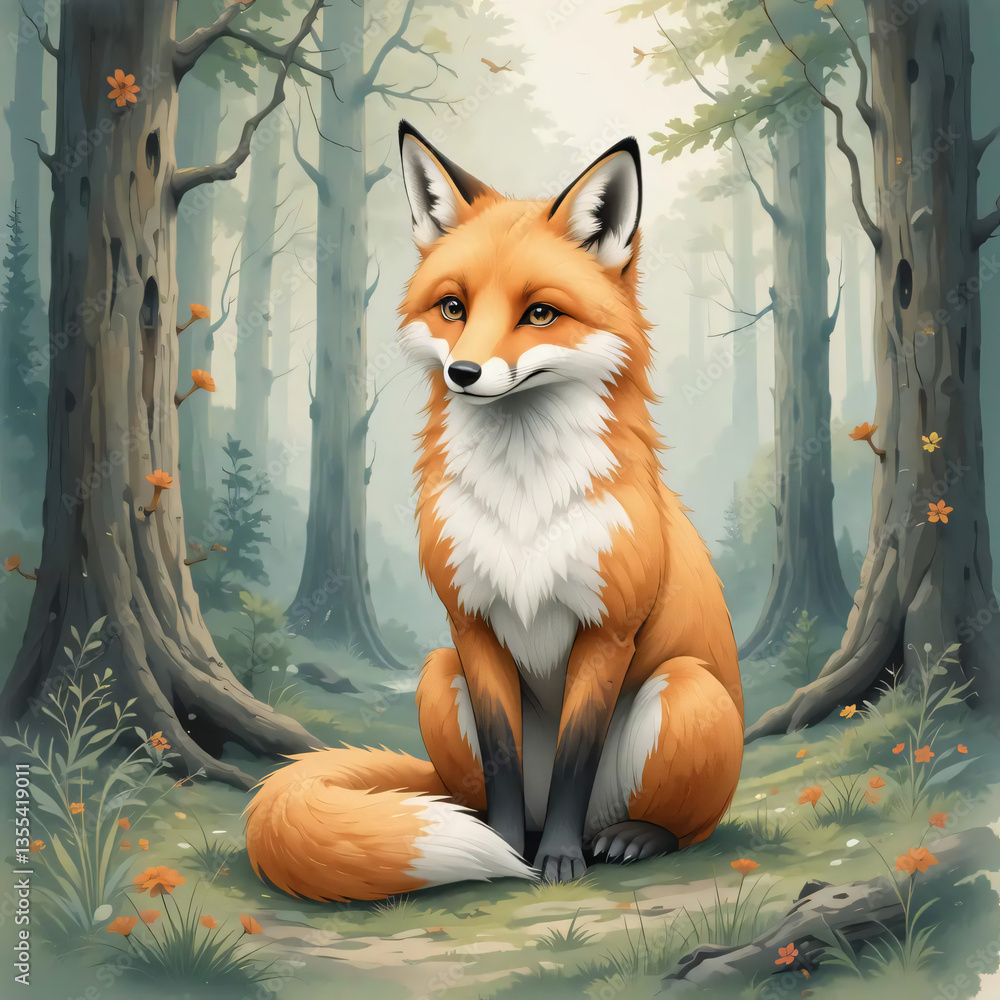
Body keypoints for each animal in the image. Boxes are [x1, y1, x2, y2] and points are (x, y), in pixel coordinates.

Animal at [243, 122, 744, 900]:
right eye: (454, 307)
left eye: (539, 313)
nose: (463, 373)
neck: (523, 502)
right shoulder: (471, 625)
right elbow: (504, 756)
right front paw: (506, 852)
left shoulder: (607, 629)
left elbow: (574, 756)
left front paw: (561, 862)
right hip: (434, 673)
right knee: (474, 796)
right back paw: (505, 834)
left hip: (688, 690)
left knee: (680, 823)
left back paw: (628, 837)